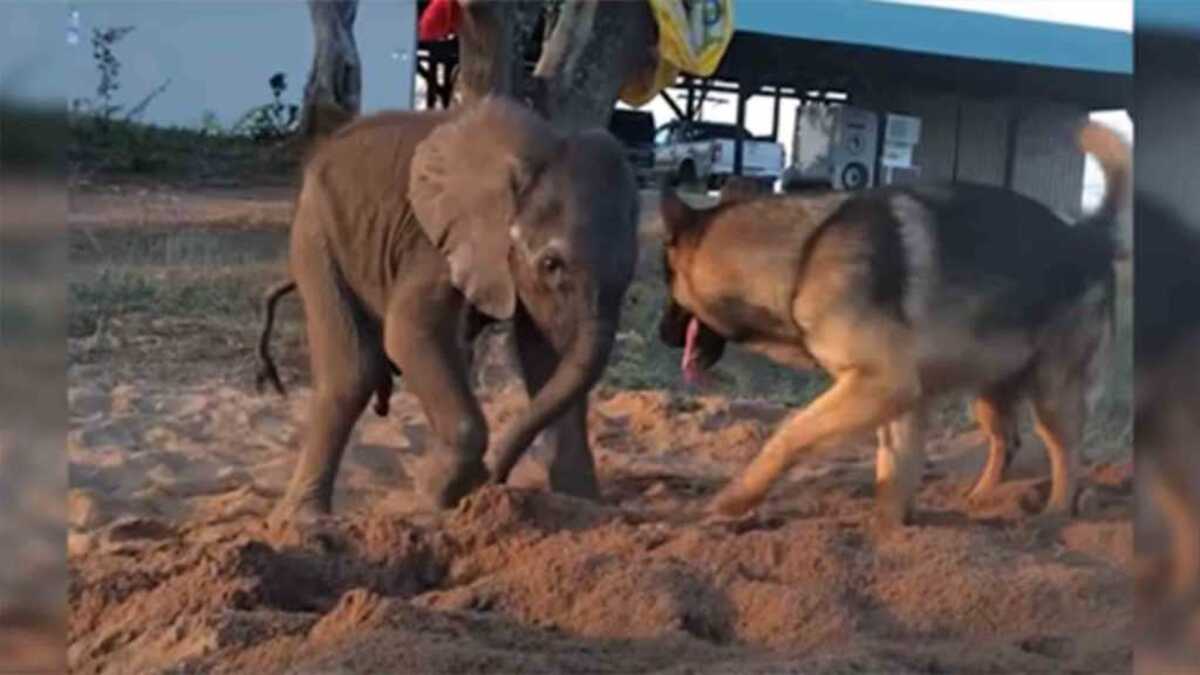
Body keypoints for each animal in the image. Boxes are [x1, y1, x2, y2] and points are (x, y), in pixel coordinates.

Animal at [271, 96, 638, 526]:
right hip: (316, 233)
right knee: (352, 373)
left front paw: (582, 505)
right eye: (551, 264)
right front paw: (434, 491)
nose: (494, 479)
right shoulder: (435, 240)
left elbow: (548, 355)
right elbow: (408, 330)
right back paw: (305, 520)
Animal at [662, 124, 1128, 526]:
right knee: (1007, 443)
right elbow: (894, 470)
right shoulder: (896, 397)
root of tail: (1088, 235)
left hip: (1052, 392)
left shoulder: (885, 385)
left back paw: (1053, 517)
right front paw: (890, 535)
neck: (802, 257)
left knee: (1068, 454)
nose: (663, 335)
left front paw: (736, 498)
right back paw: (980, 498)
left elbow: (790, 434)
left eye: (668, 283)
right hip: (990, 390)